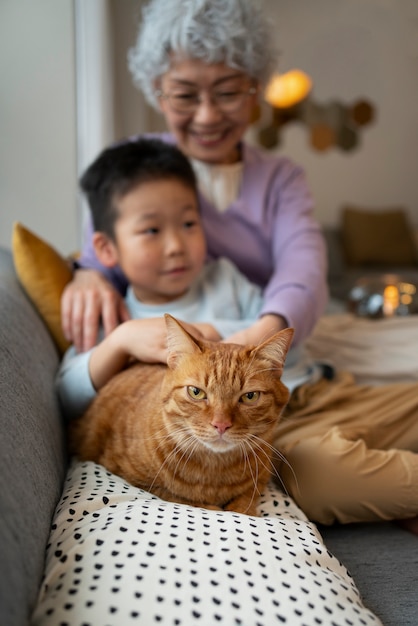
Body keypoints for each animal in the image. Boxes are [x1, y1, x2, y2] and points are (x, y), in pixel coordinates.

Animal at [70, 314, 292, 516]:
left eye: (249, 396)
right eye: (196, 392)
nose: (221, 425)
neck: (214, 471)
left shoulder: (261, 477)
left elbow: (246, 501)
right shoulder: (129, 475)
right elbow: (177, 496)